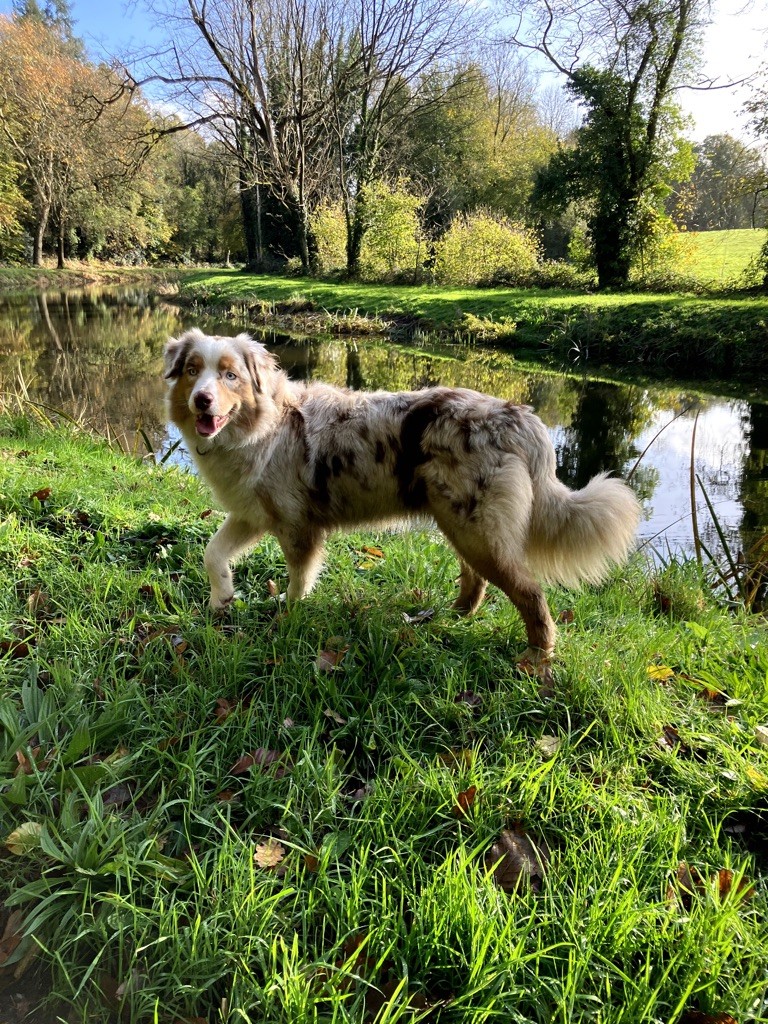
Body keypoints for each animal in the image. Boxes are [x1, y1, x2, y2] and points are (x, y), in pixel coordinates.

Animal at [163, 329, 643, 663]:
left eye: (231, 375)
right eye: (192, 370)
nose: (202, 400)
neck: (265, 426)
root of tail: (519, 418)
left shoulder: (298, 526)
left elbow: (299, 579)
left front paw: (288, 615)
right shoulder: (251, 513)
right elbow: (212, 552)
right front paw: (221, 599)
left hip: (478, 531)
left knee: (530, 592)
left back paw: (536, 655)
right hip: (460, 523)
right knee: (476, 577)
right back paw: (455, 614)